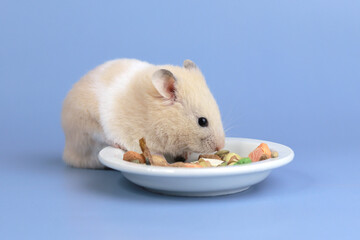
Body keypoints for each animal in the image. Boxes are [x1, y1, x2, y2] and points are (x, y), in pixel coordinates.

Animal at [62, 58, 225, 168]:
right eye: (202, 121)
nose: (220, 146)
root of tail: (68, 153)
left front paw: (185, 155)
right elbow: (152, 152)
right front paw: (159, 159)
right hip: (88, 126)